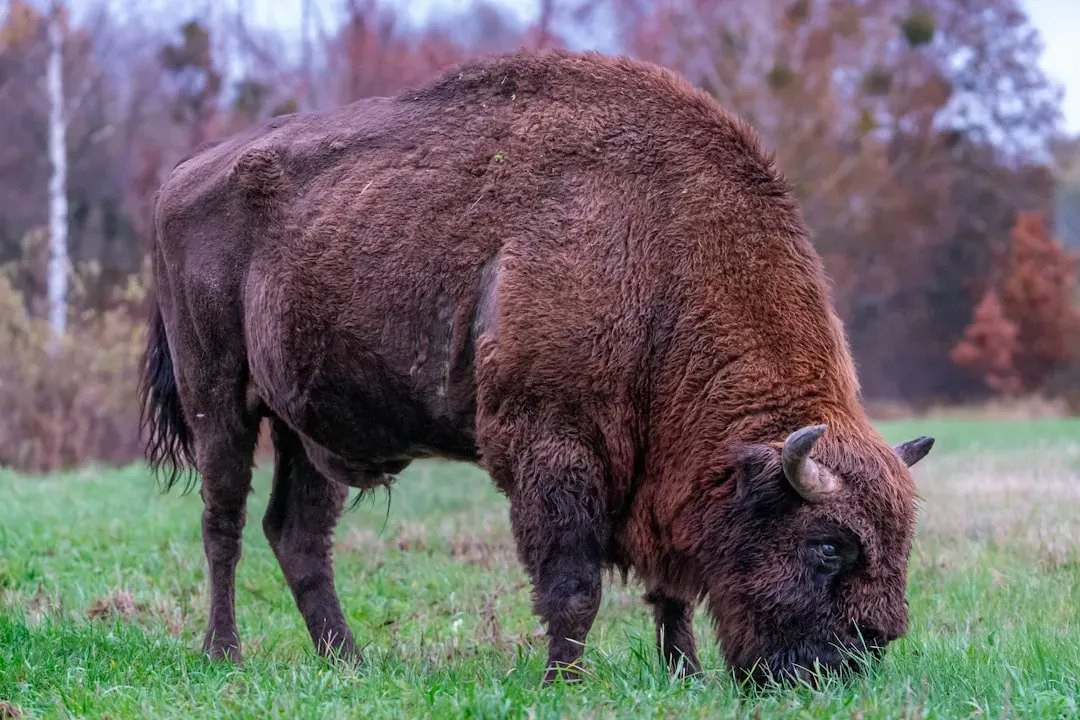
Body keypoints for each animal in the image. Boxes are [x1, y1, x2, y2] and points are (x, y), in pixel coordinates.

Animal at [139, 49, 934, 684]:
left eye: (898, 544)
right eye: (828, 546)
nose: (857, 660)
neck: (663, 257)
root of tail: (178, 176)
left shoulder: (652, 471)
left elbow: (669, 588)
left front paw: (682, 673)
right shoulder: (553, 447)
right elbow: (573, 583)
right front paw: (564, 681)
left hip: (308, 427)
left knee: (298, 534)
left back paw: (349, 661)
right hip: (219, 399)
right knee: (223, 523)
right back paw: (224, 653)